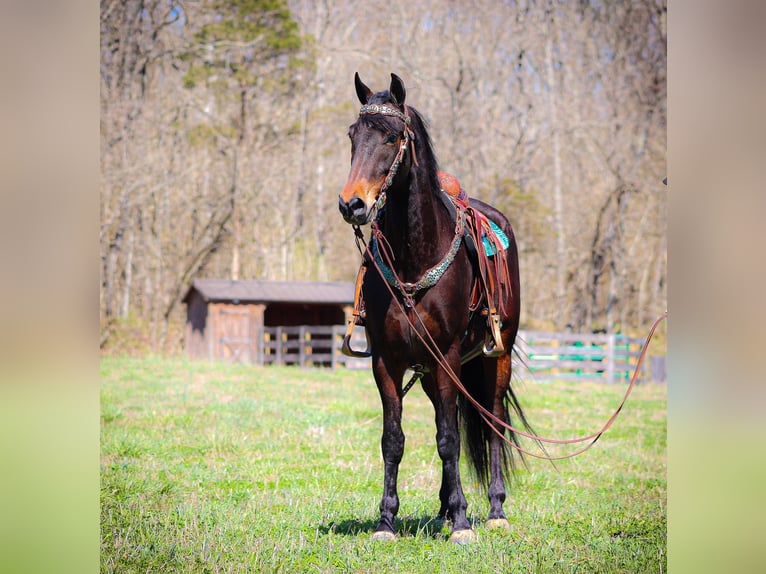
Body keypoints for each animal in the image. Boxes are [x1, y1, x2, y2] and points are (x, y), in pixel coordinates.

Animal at [340, 73, 536, 544]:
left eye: (391, 137)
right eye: (353, 136)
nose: (351, 204)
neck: (416, 255)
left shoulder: (447, 356)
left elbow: (450, 439)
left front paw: (464, 522)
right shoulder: (387, 361)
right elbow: (393, 440)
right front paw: (386, 521)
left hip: (496, 358)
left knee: (492, 423)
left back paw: (493, 510)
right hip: (430, 372)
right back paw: (446, 508)